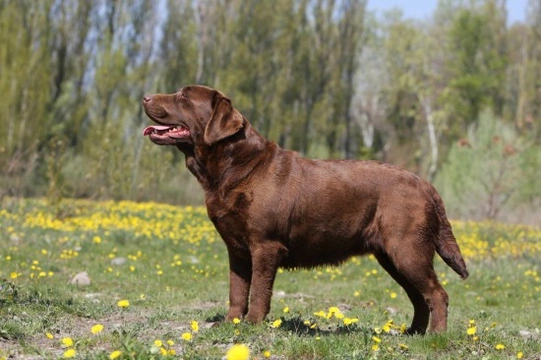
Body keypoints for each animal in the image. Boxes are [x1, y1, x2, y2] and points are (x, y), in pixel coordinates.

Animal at [141, 85, 466, 334]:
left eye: (183, 96)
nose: (144, 97)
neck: (235, 166)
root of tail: (425, 183)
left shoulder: (265, 245)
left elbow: (258, 290)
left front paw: (252, 323)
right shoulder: (236, 248)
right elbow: (237, 289)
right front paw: (230, 322)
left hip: (407, 250)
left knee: (437, 294)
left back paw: (435, 337)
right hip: (392, 256)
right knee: (419, 297)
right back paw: (412, 333)